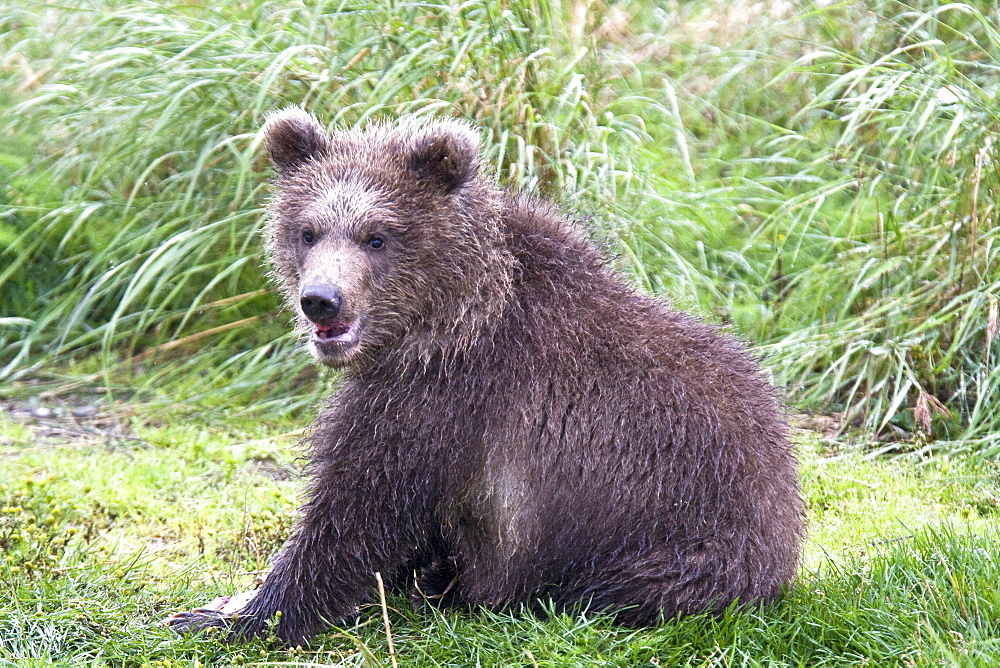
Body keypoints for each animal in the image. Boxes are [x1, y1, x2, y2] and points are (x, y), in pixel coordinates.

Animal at [164, 109, 804, 648]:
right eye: (307, 230)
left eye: (377, 236)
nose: (321, 299)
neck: (449, 317)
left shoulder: (446, 399)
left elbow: (357, 512)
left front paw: (233, 615)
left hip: (672, 544)